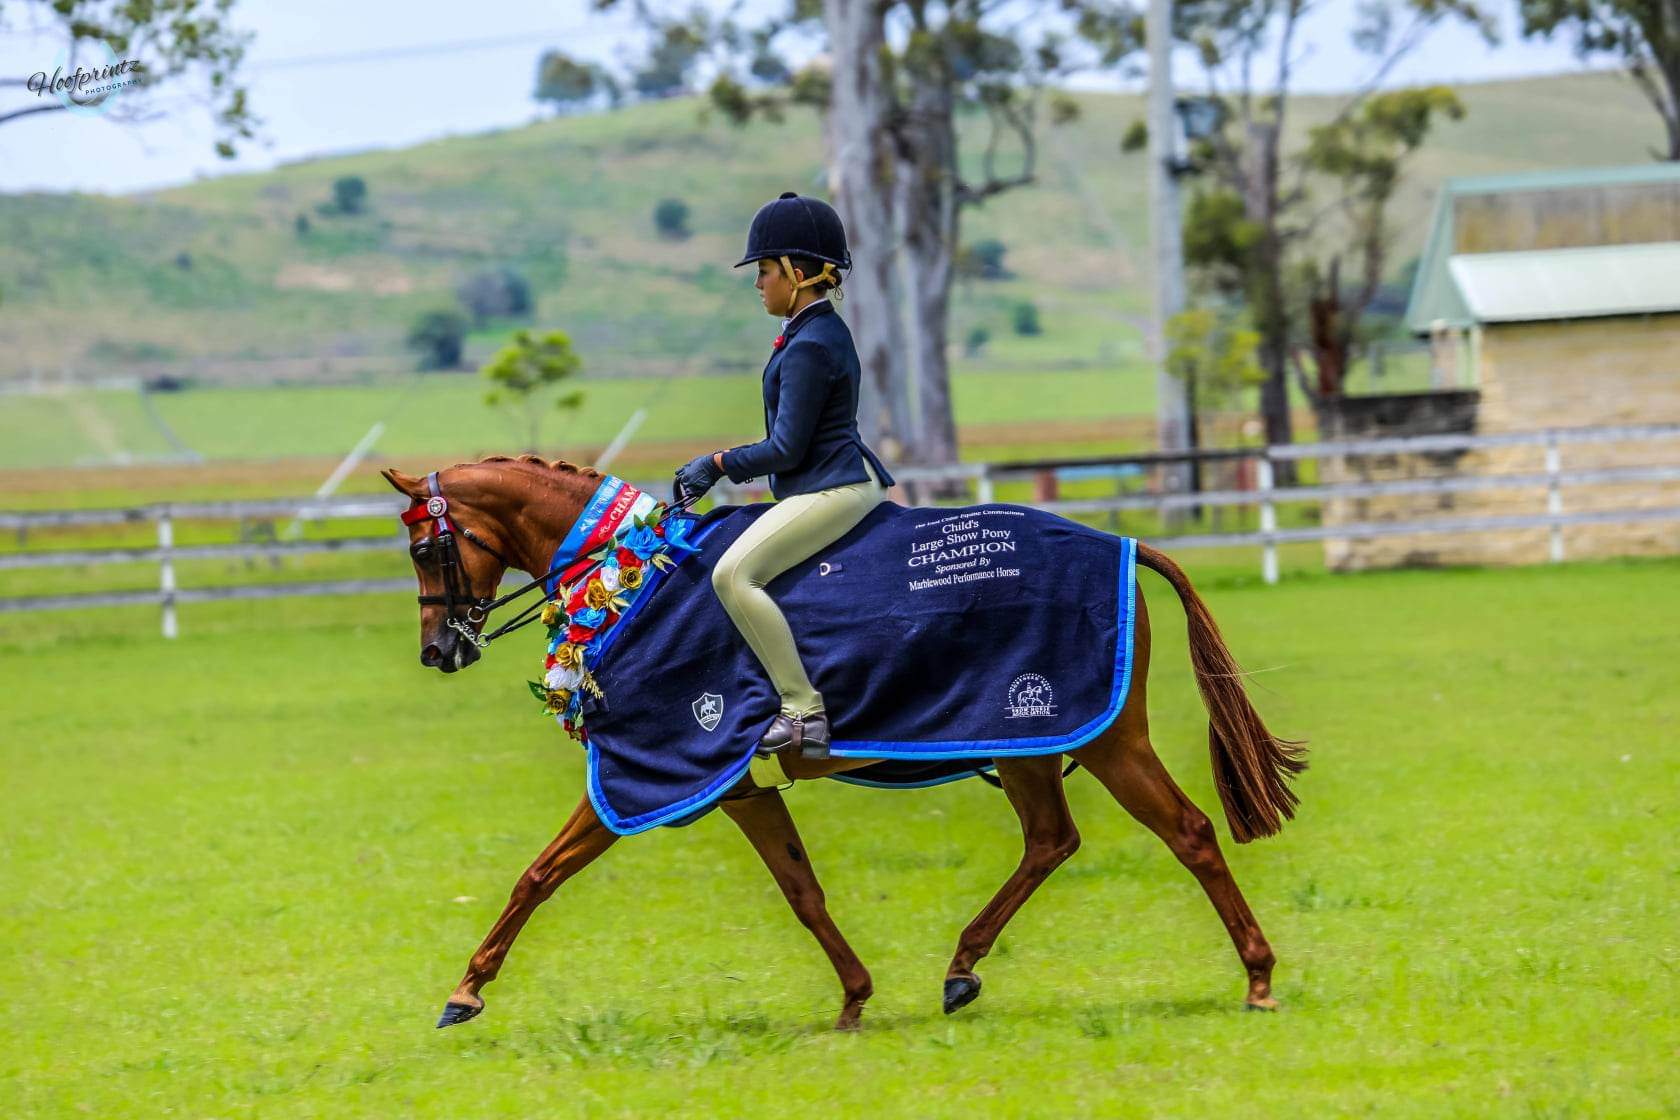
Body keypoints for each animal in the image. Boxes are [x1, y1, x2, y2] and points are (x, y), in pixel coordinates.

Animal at [384, 456, 1310, 1034]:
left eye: (426, 546)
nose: (437, 652)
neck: (630, 583)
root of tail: (1122, 543)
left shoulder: (663, 769)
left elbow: (538, 875)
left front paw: (465, 992)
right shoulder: (737, 787)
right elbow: (803, 892)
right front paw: (856, 999)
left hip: (1107, 737)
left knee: (1188, 833)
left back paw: (1260, 980)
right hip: (1023, 737)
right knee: (1052, 840)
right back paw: (961, 968)